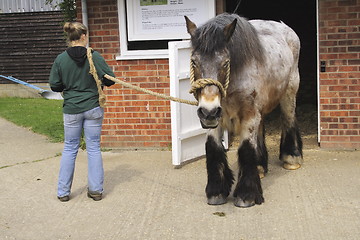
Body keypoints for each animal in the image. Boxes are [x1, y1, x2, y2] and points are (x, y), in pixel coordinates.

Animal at [186, 13, 304, 208]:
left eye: (225, 63)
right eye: (194, 61)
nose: (208, 111)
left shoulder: (248, 114)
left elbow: (246, 148)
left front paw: (246, 194)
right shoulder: (215, 118)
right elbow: (213, 147)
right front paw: (216, 192)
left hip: (289, 91)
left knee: (289, 118)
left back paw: (292, 158)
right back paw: (260, 166)